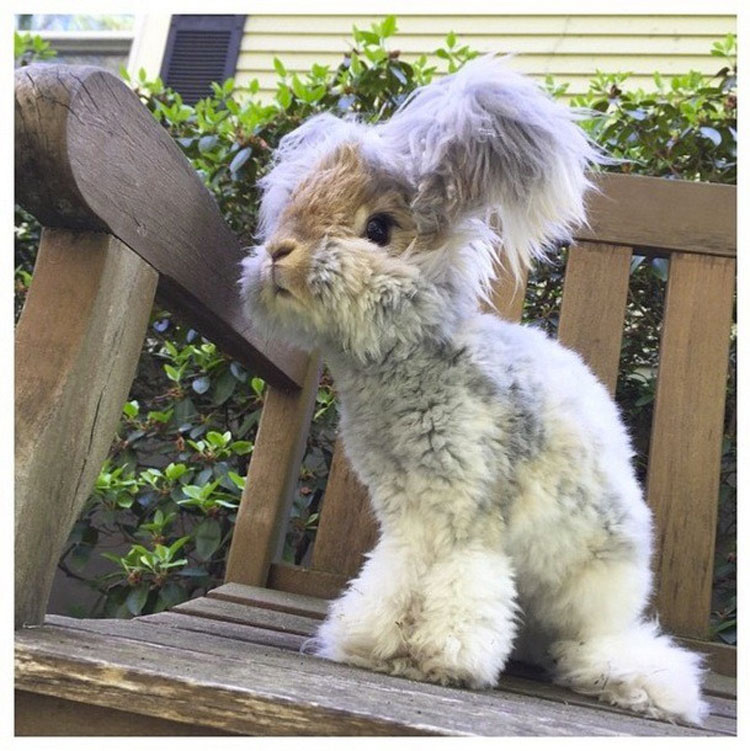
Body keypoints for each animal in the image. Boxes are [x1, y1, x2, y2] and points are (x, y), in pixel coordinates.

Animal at [242, 55, 712, 724]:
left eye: (378, 229)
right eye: (293, 208)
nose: (279, 254)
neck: (410, 356)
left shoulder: (468, 510)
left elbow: (464, 580)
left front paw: (442, 660)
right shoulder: (407, 515)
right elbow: (395, 576)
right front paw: (371, 646)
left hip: (593, 585)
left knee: (592, 640)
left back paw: (632, 680)